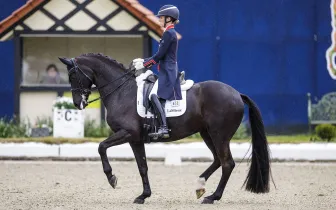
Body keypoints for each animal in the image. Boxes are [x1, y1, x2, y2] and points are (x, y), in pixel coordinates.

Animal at [58, 53, 272, 204]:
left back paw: (212, 197)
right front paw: (143, 195)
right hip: (207, 133)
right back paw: (200, 186)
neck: (121, 91)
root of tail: (237, 94)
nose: (77, 103)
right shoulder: (135, 139)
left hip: (219, 135)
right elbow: (142, 166)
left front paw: (112, 178)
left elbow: (101, 147)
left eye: (72, 75)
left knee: (227, 163)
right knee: (218, 160)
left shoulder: (127, 133)